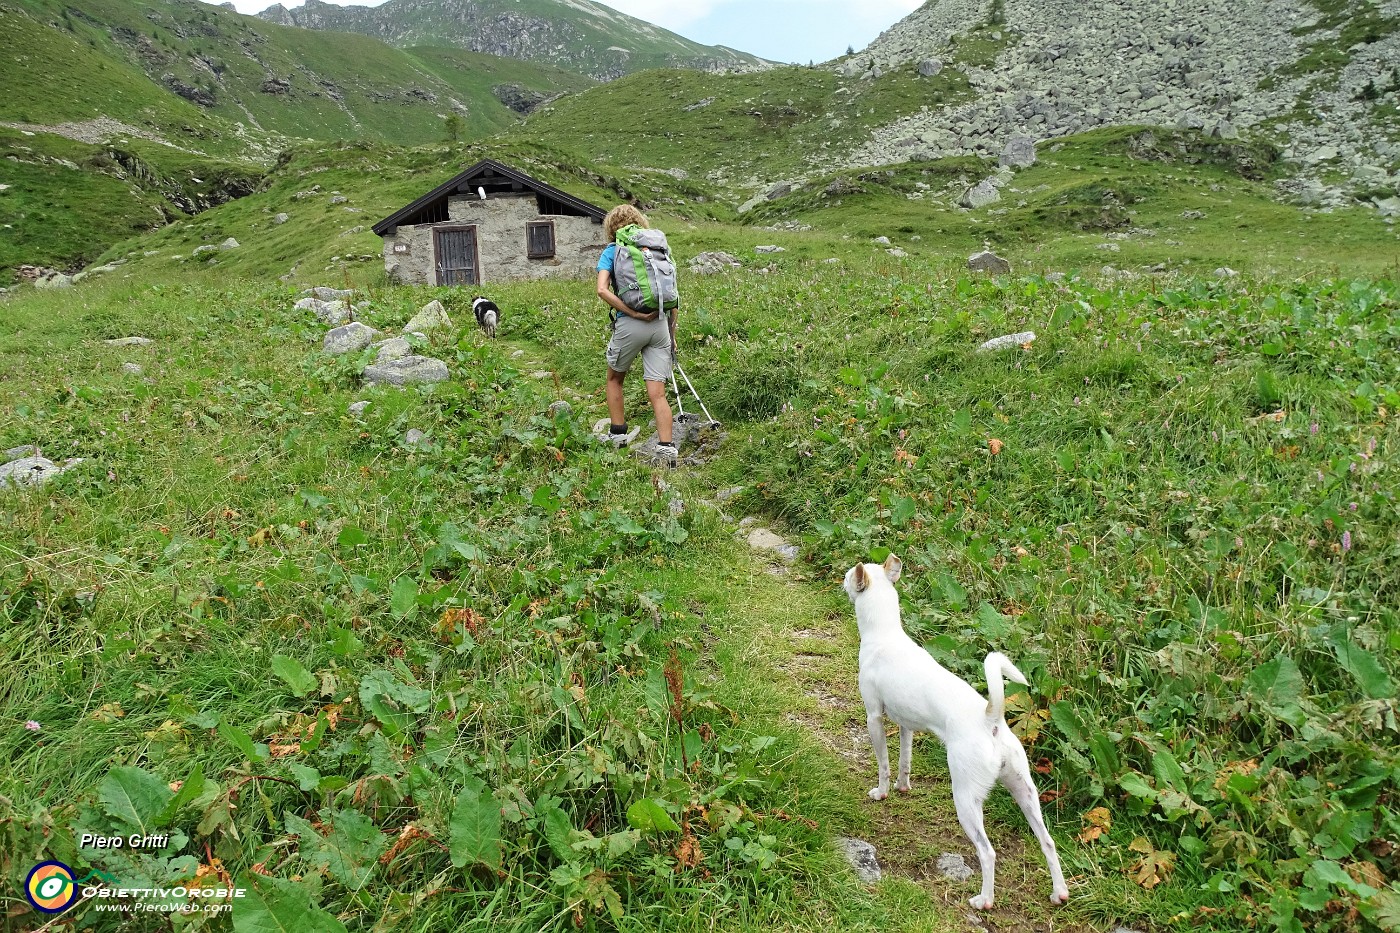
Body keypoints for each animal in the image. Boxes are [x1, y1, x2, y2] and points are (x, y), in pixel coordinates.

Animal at [845, 554, 1064, 902]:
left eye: (848, 577)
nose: (843, 578)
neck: (885, 633)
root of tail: (991, 719)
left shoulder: (874, 717)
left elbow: (883, 764)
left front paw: (881, 792)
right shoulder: (906, 724)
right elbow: (904, 761)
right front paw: (903, 787)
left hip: (966, 798)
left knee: (987, 852)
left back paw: (984, 900)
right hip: (1024, 791)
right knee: (1048, 842)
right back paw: (1059, 893)